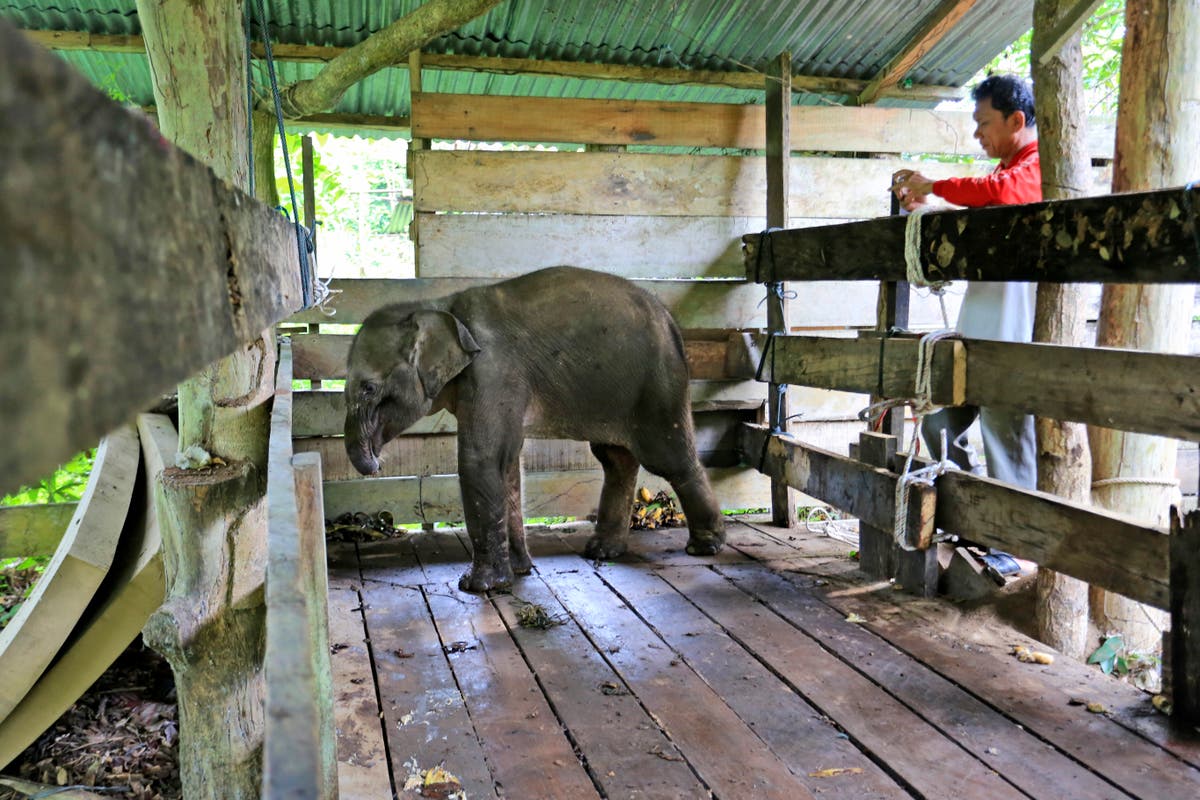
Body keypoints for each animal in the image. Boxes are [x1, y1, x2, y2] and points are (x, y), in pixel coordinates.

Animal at [343, 266, 725, 592]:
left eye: (369, 389)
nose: (377, 462)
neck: (440, 307)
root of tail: (671, 322)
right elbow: (508, 463)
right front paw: (519, 570)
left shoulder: (493, 372)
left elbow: (481, 460)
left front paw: (478, 586)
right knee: (615, 459)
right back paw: (603, 550)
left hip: (659, 383)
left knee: (668, 458)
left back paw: (705, 547)